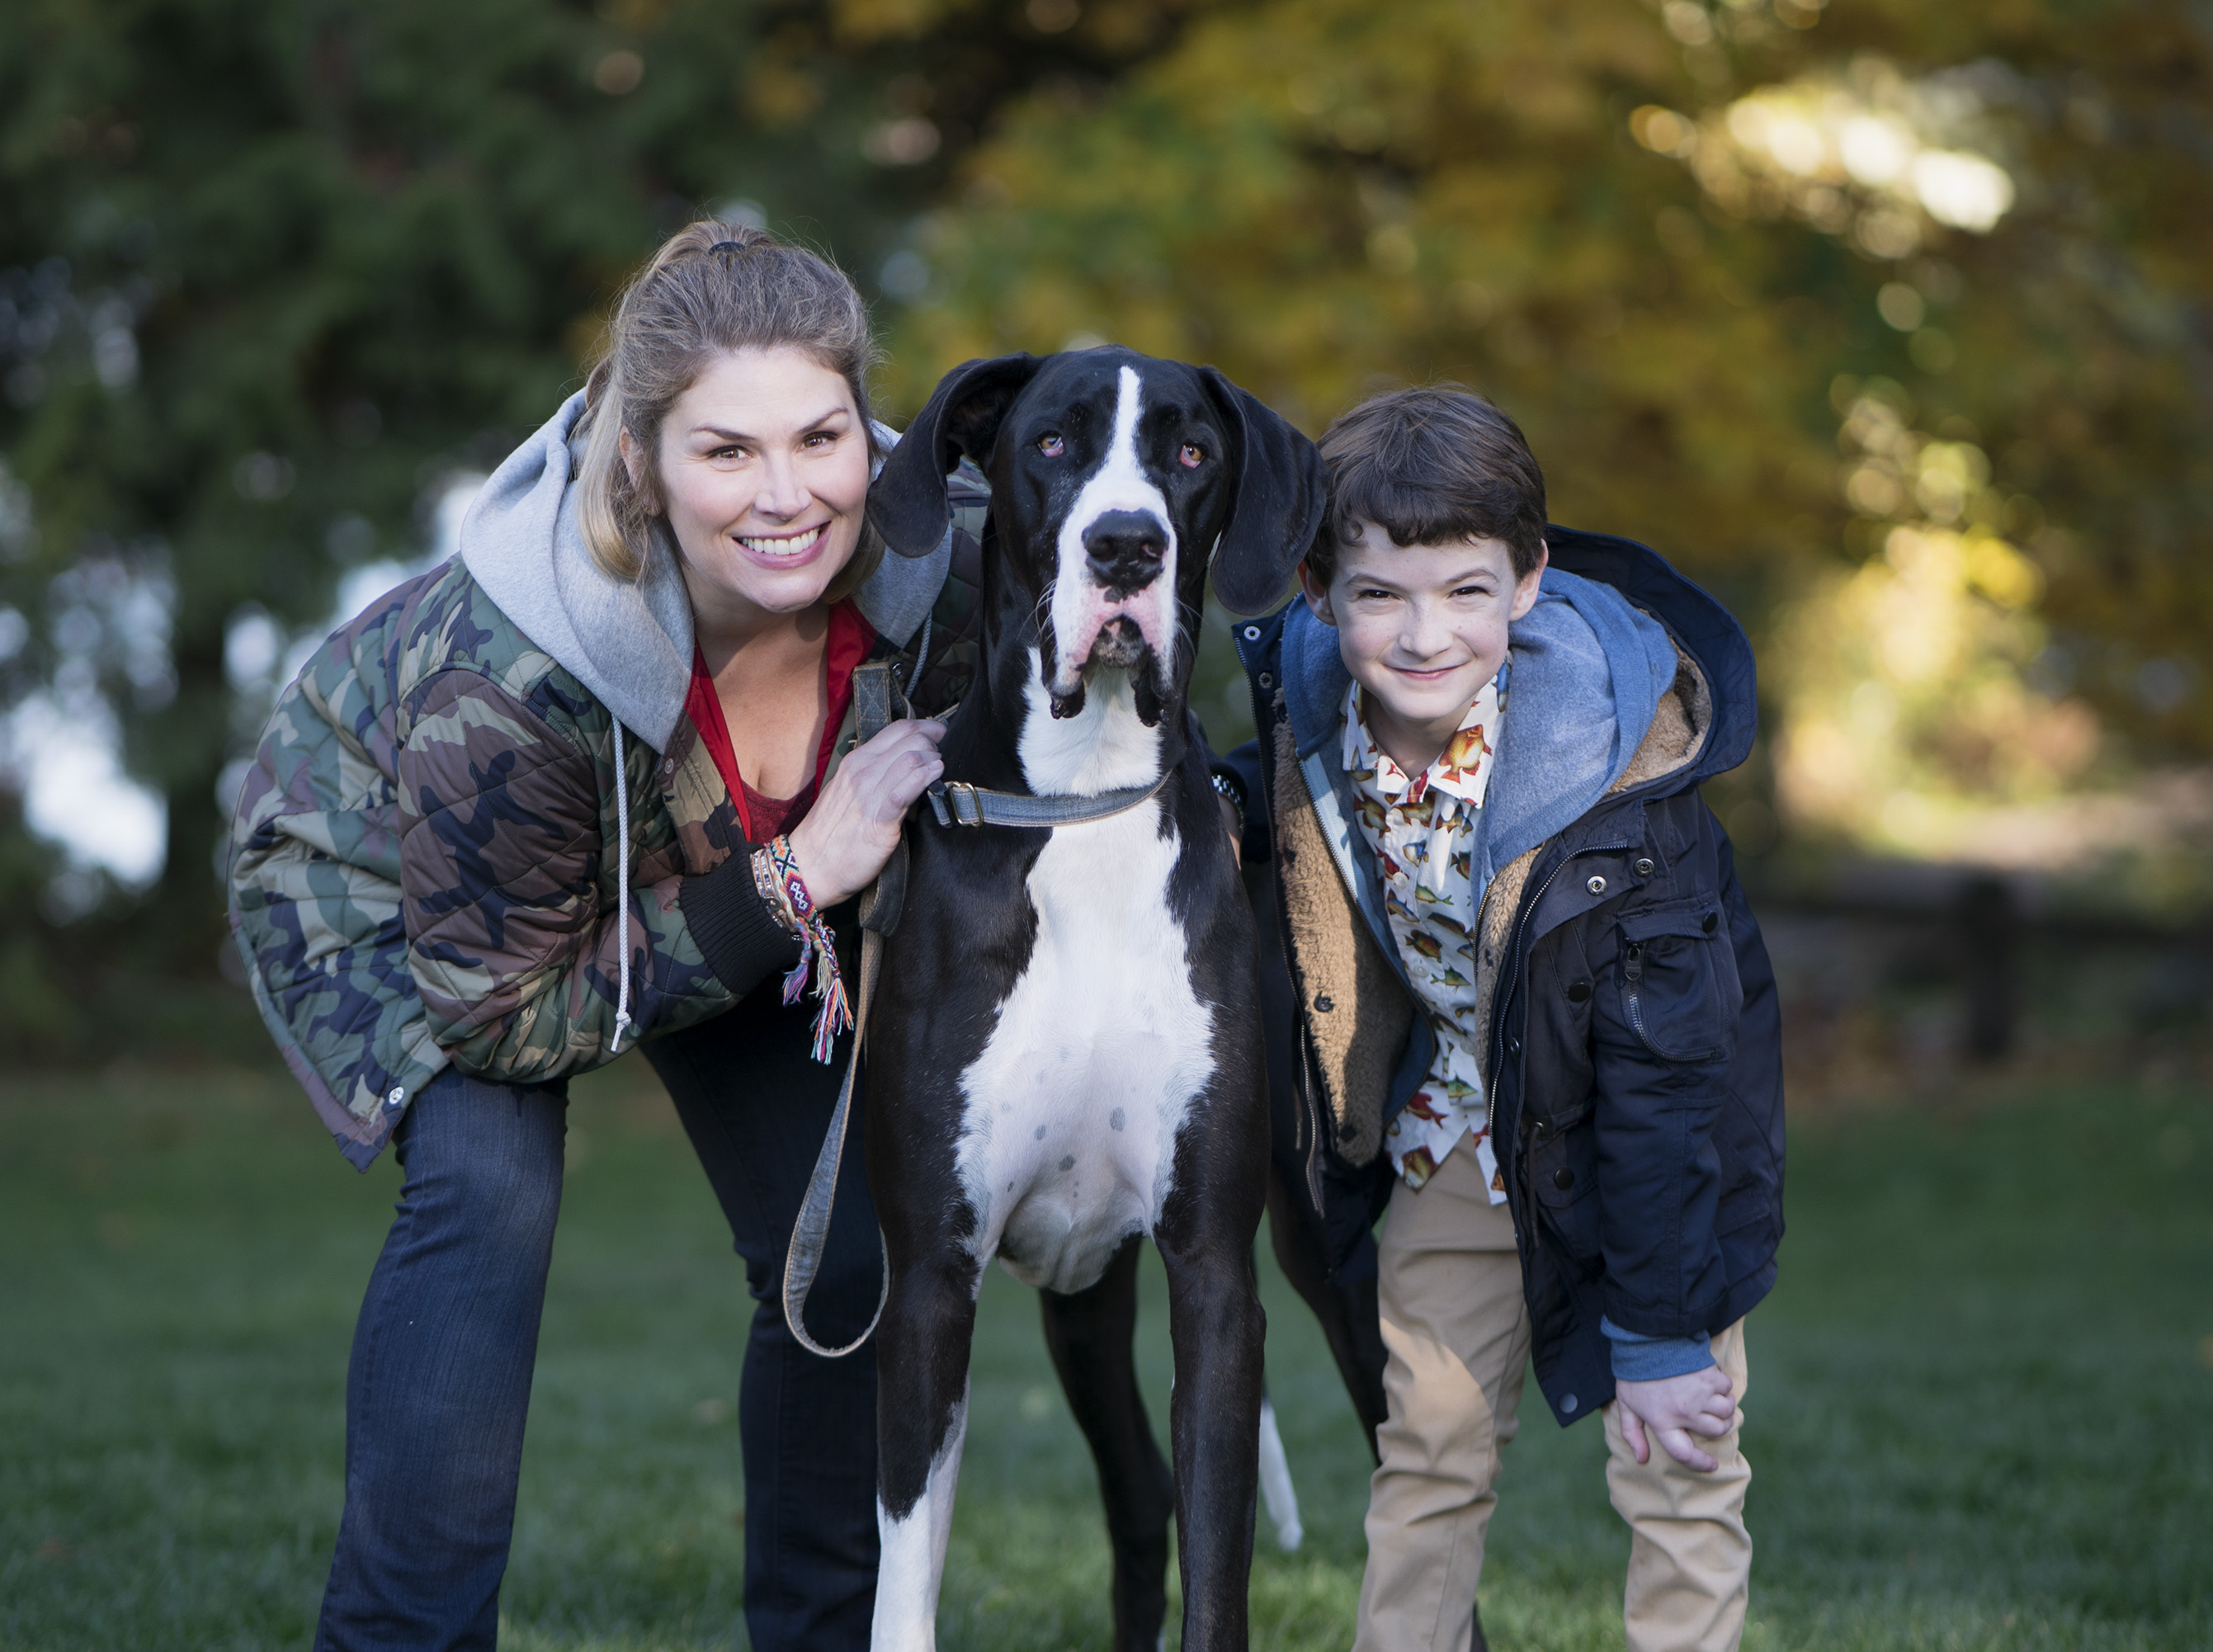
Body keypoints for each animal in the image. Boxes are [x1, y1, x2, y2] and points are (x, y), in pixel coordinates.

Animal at [861, 346, 1325, 1652]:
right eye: (1054, 444)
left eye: (1191, 453)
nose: (1125, 547)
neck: (1082, 802)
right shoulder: (931, 1283)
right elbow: (904, 1584)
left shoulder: (1216, 1280)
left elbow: (1218, 1575)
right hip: (1080, 1309)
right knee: (1135, 1500)